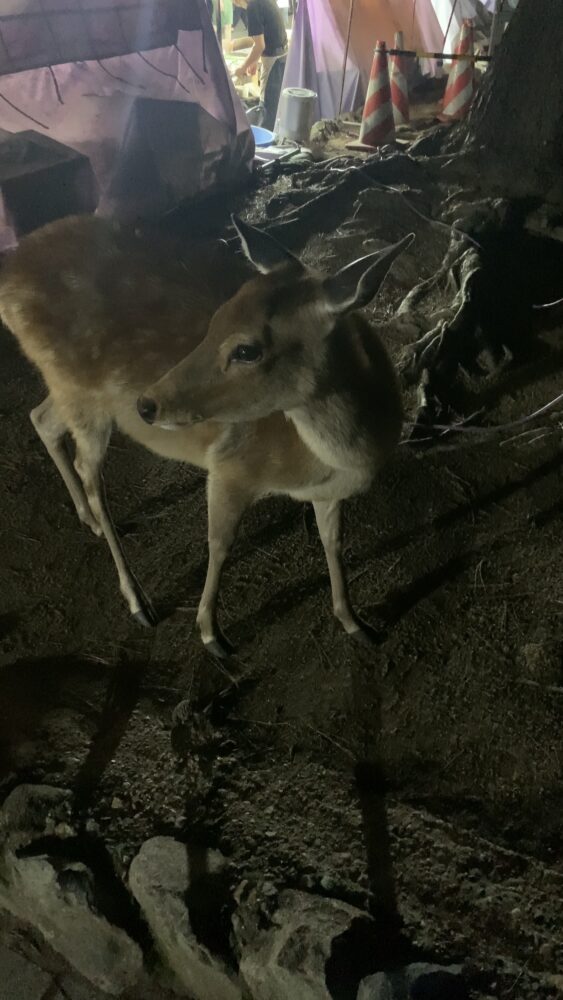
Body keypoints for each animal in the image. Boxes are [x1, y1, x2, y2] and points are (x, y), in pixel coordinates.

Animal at [0, 213, 414, 656]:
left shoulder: (327, 493)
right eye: (215, 322)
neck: (337, 463)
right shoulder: (231, 468)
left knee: (41, 418)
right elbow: (219, 544)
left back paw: (89, 520)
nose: (147, 405)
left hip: (68, 391)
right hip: (79, 392)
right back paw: (138, 601)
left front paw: (357, 623)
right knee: (87, 467)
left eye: (246, 349)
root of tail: (10, 273)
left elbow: (332, 542)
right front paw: (212, 635)